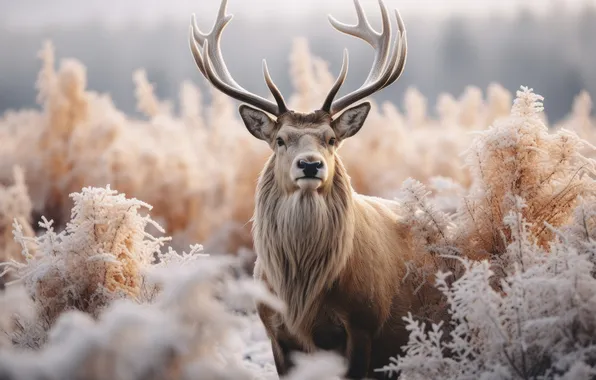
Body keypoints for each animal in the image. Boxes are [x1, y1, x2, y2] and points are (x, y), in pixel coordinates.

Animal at [187, 1, 434, 378]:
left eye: (331, 139)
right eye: (280, 139)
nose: (309, 164)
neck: (302, 298)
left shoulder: (364, 323)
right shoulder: (275, 332)